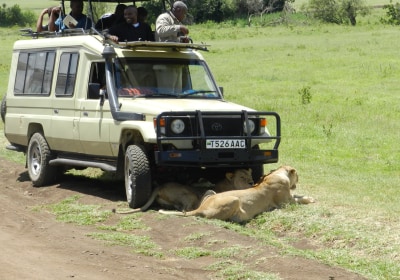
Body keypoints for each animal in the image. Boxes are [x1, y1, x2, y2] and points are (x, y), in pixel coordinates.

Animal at [159, 166, 316, 223]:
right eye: (298, 176)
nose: (297, 182)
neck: (276, 174)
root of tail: (200, 209)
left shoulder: (289, 198)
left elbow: (298, 195)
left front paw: (308, 196)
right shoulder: (286, 203)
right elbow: (299, 200)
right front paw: (310, 199)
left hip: (211, 192)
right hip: (234, 199)